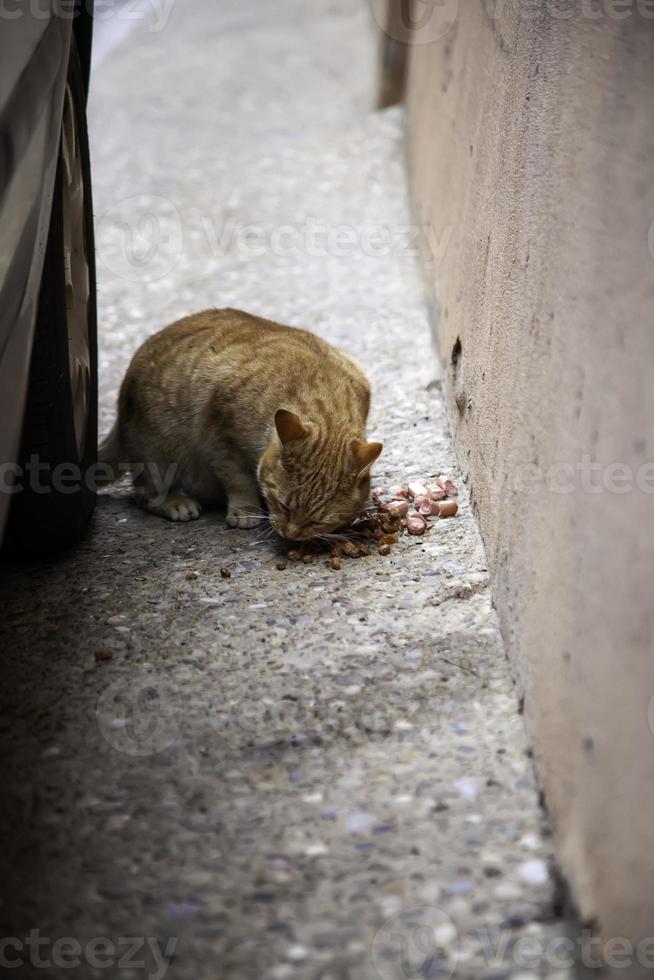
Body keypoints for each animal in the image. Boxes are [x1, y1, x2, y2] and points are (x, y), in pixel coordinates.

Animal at [100, 308, 382, 540]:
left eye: (317, 522)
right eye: (282, 505)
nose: (290, 534)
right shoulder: (221, 438)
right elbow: (239, 479)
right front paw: (246, 509)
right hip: (156, 453)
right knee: (143, 492)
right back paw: (174, 502)